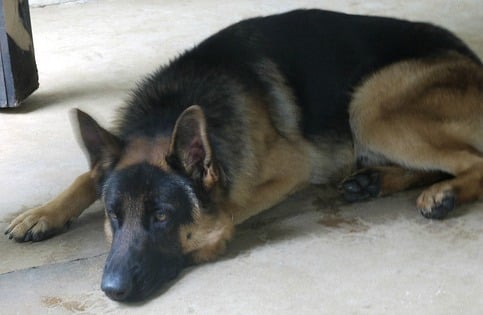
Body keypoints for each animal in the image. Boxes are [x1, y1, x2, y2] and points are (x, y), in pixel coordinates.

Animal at [4, 8, 483, 302]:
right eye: (113, 217)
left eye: (161, 217)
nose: (112, 290)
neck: (168, 111)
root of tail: (472, 59)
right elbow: (88, 175)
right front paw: (41, 213)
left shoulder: (294, 166)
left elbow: (229, 207)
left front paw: (212, 237)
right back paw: (376, 180)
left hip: (368, 106)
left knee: (473, 160)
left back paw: (444, 193)